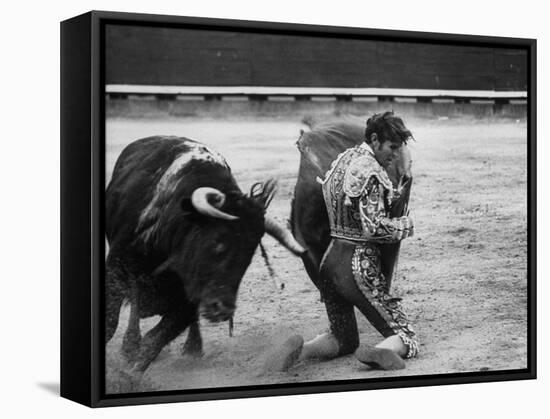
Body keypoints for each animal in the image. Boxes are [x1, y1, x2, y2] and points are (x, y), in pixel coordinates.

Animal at [106, 135, 306, 374]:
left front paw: (129, 376)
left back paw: (192, 348)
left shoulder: (189, 299)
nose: (223, 309)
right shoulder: (116, 269)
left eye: (250, 254)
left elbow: (155, 340)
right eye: (218, 242)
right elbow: (112, 322)